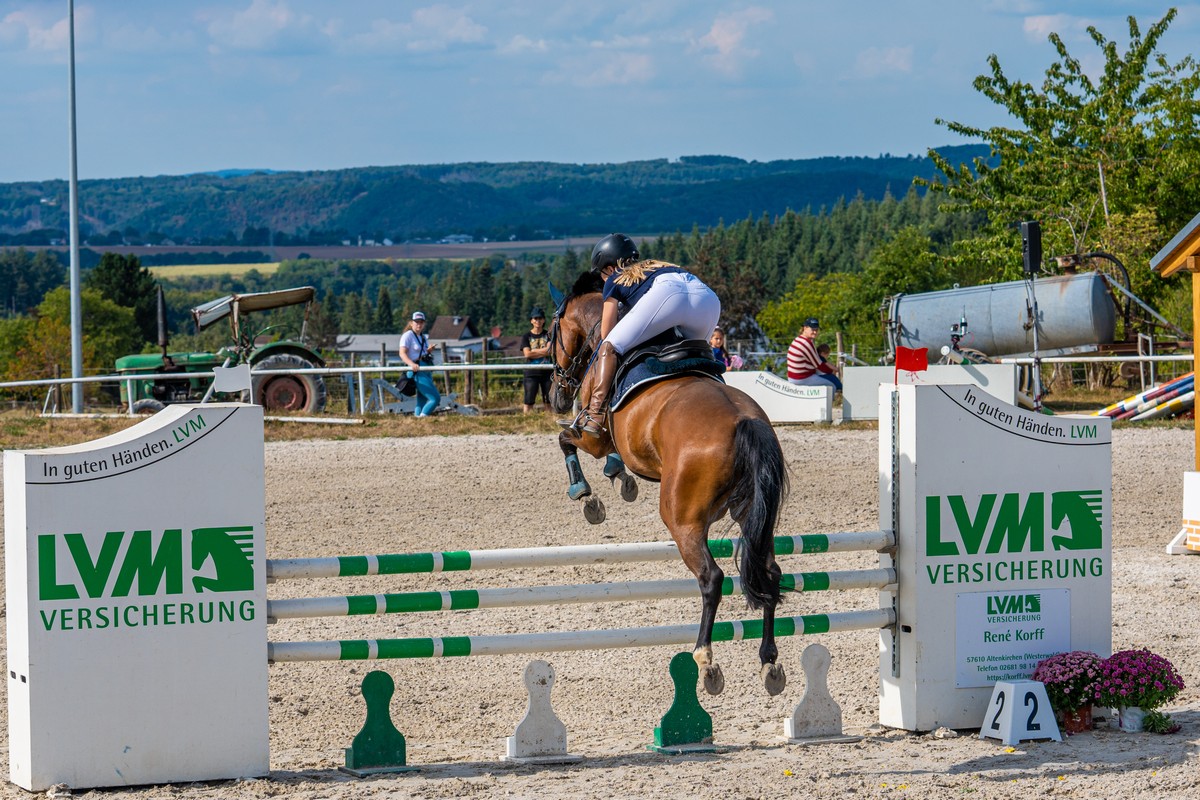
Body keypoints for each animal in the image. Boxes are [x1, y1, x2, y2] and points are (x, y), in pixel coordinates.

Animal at [547, 271, 791, 695]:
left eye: (551, 333)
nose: (555, 395)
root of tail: (745, 421)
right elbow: (609, 458)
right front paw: (621, 480)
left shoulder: (595, 436)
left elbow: (569, 440)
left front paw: (588, 497)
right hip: (750, 513)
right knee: (770, 573)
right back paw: (769, 662)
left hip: (682, 518)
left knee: (711, 578)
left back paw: (705, 660)